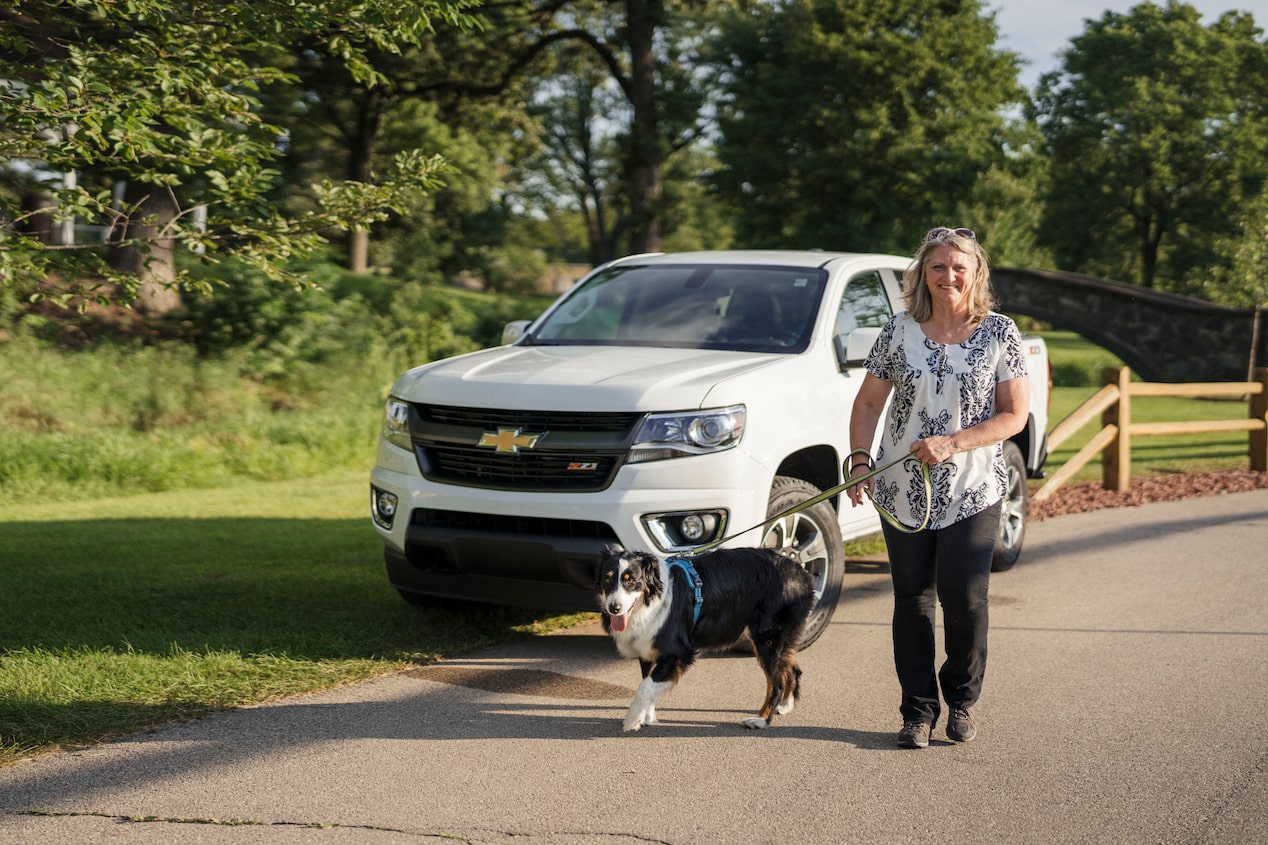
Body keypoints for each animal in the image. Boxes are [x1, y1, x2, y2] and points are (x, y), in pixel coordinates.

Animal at [593, 543, 811, 725]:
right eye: (607, 578)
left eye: (631, 581)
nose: (614, 608)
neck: (651, 601)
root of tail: (801, 571)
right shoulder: (648, 649)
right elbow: (648, 682)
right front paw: (645, 716)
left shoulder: (677, 653)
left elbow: (645, 686)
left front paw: (632, 719)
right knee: (791, 669)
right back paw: (785, 705)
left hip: (767, 638)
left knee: (776, 683)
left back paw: (762, 719)